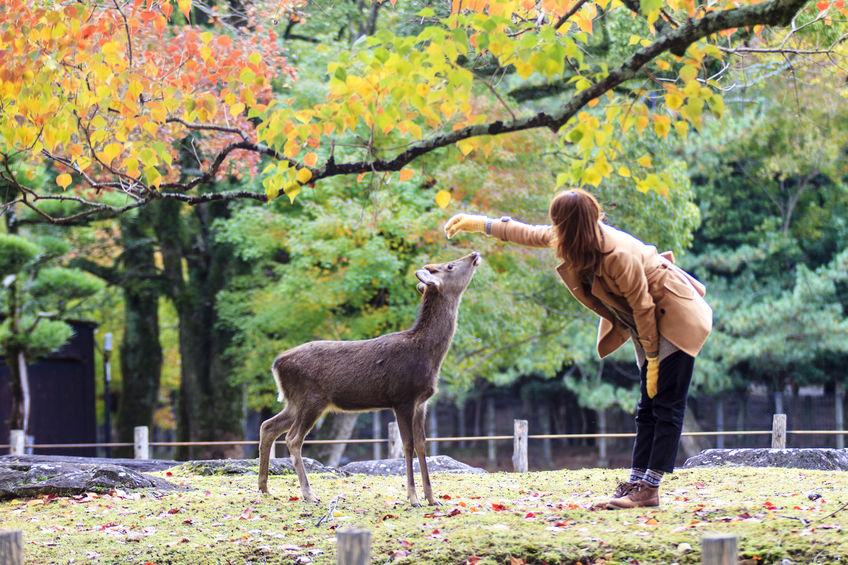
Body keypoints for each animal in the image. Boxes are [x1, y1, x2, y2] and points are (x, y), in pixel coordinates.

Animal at [258, 251, 480, 506]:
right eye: (450, 265)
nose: (474, 254)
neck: (428, 354)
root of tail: (277, 364)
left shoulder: (422, 402)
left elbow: (422, 445)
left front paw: (433, 499)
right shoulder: (402, 397)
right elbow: (407, 445)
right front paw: (413, 498)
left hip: (295, 401)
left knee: (268, 426)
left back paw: (264, 488)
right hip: (311, 398)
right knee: (293, 439)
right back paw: (308, 493)